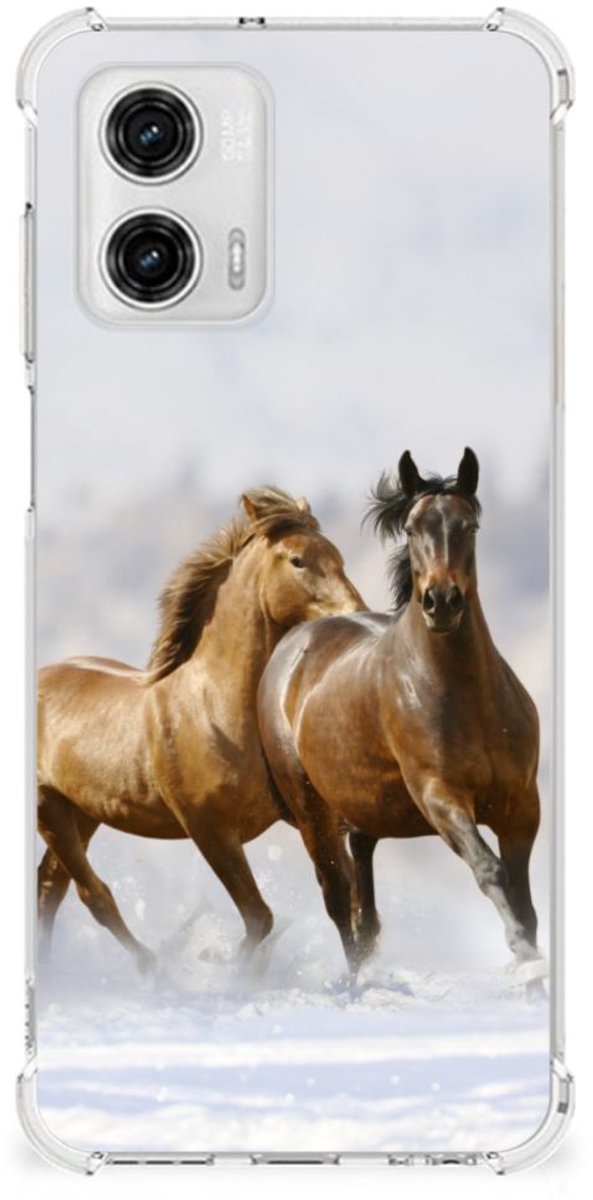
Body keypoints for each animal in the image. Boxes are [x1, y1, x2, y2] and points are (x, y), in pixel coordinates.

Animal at [37, 487, 365, 970]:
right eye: (298, 560)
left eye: (338, 556)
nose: (357, 614)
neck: (216, 709)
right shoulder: (209, 830)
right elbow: (259, 918)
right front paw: (225, 969)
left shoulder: (306, 816)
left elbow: (341, 893)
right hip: (51, 809)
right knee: (91, 894)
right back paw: (154, 969)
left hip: (82, 812)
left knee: (50, 886)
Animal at [258, 450, 541, 976]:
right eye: (411, 528)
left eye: (469, 525)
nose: (441, 602)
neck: (467, 699)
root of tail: (292, 644)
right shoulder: (440, 797)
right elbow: (490, 870)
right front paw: (522, 952)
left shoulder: (522, 806)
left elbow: (525, 900)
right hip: (312, 813)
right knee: (338, 900)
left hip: (362, 810)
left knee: (363, 906)